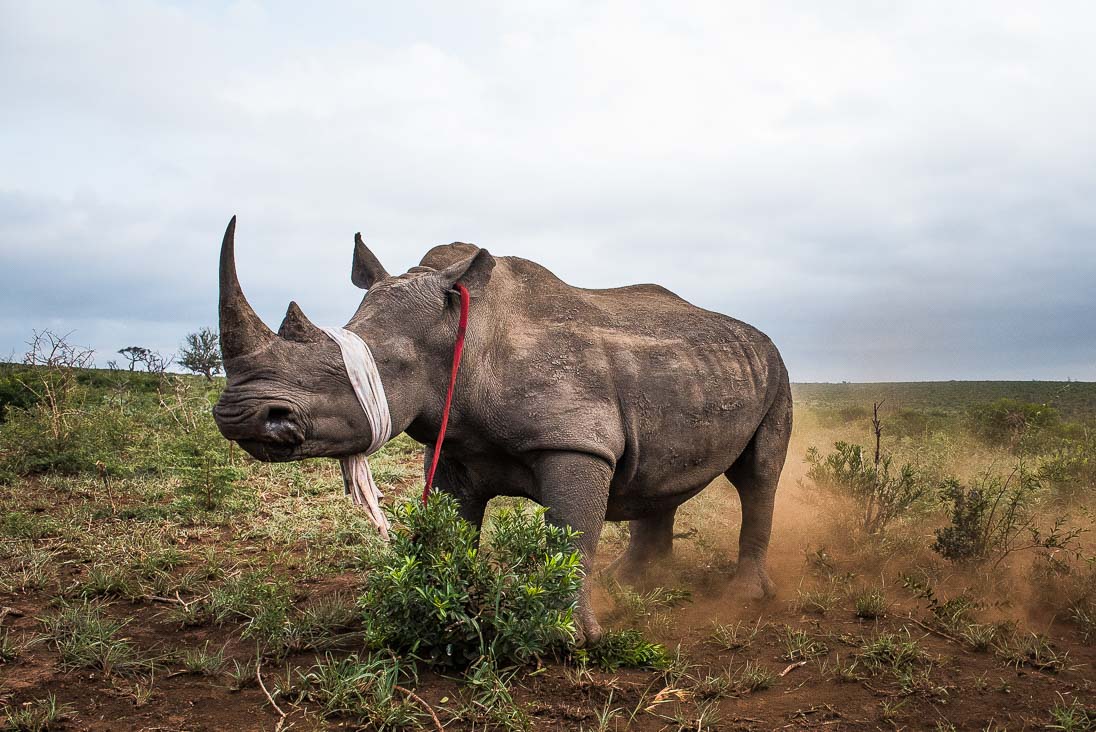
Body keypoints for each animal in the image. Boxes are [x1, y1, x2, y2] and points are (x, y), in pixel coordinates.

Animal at [213, 217, 792, 644]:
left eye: (373, 365)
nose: (240, 415)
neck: (465, 335)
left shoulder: (576, 443)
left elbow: (570, 534)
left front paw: (566, 639)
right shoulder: (454, 447)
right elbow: (451, 527)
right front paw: (434, 612)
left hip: (776, 369)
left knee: (758, 475)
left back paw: (744, 597)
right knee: (658, 471)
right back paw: (633, 582)